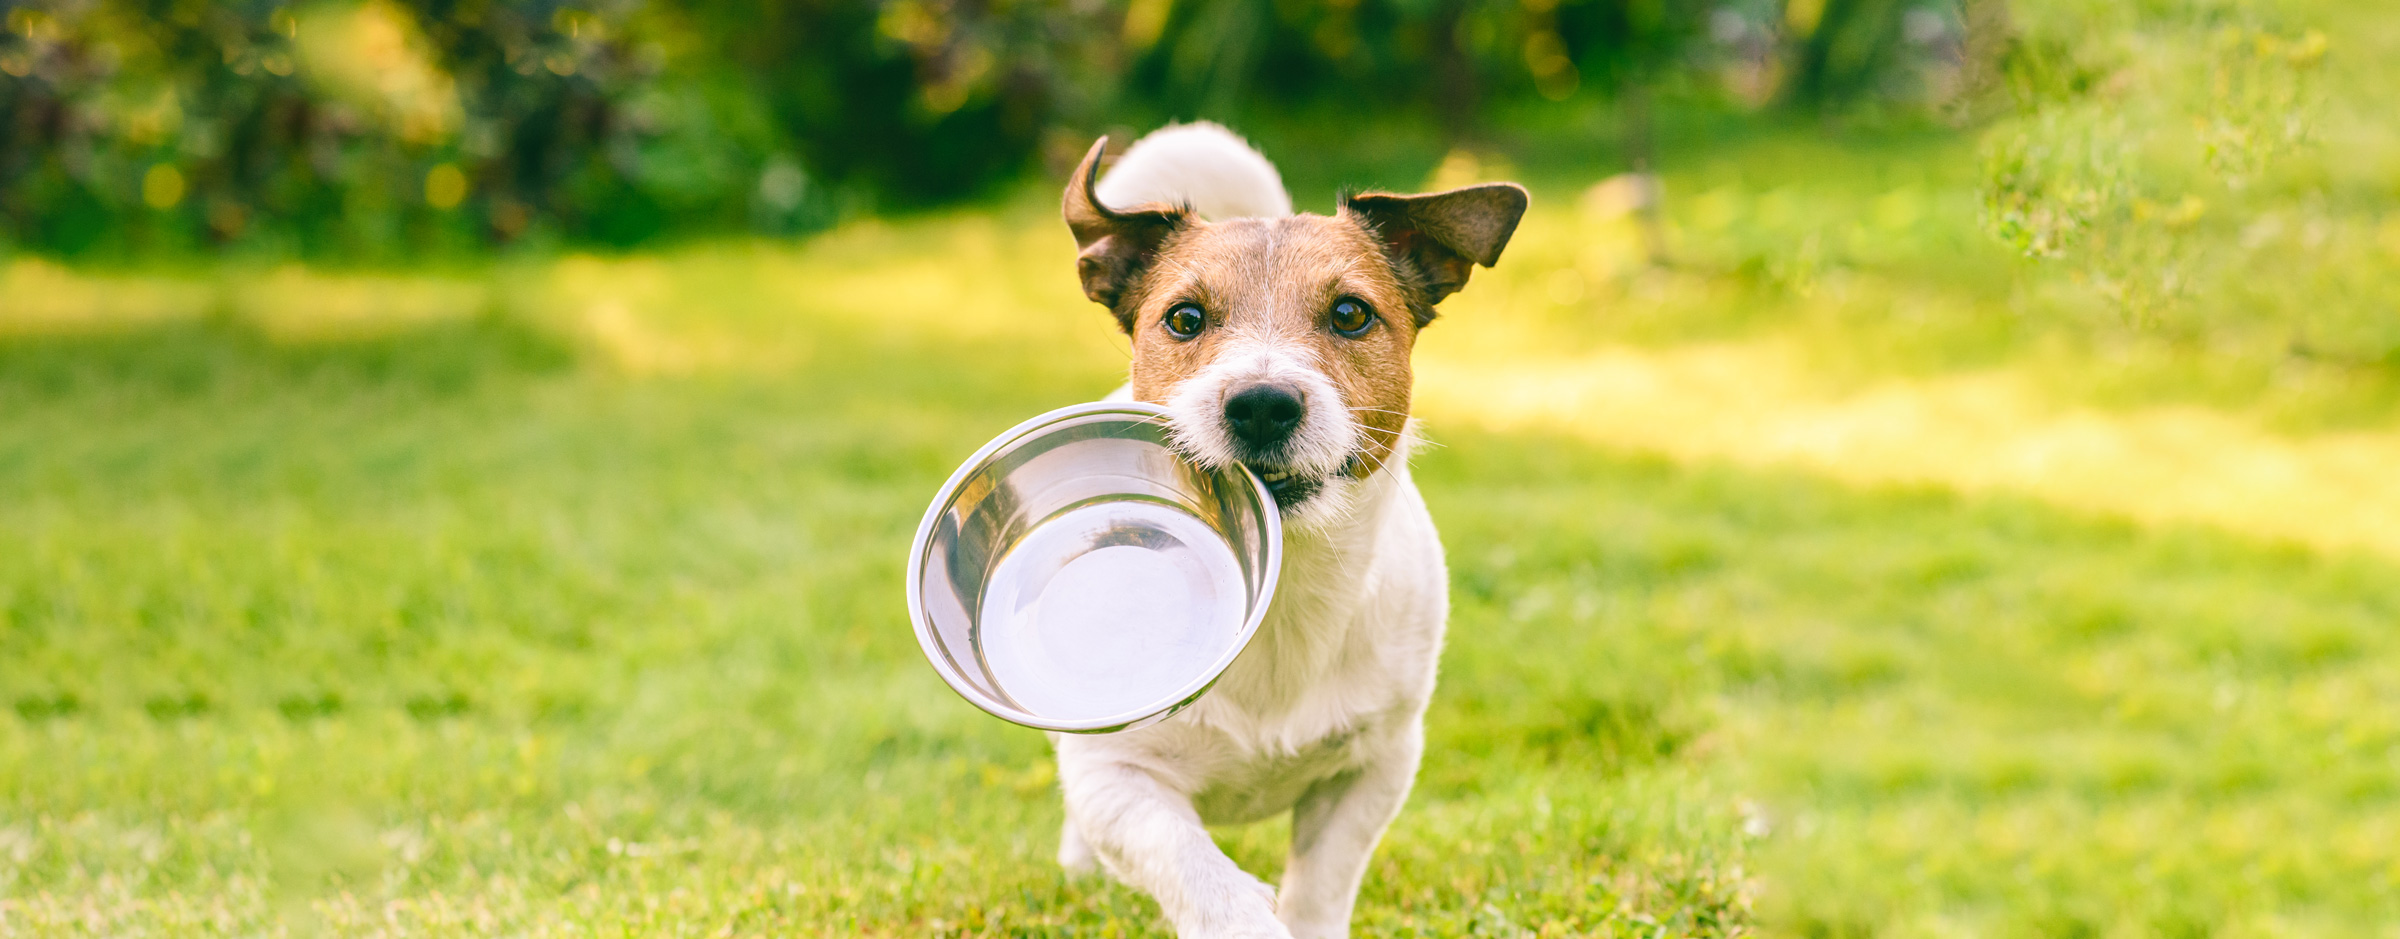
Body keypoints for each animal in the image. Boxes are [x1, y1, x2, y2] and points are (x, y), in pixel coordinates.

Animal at [1046, 124, 1516, 939]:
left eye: (1352, 314)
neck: (1282, 590)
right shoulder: (1117, 778)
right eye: (1185, 319)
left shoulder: (1375, 768)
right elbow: (1192, 865)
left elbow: (1321, 886)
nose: (1261, 404)